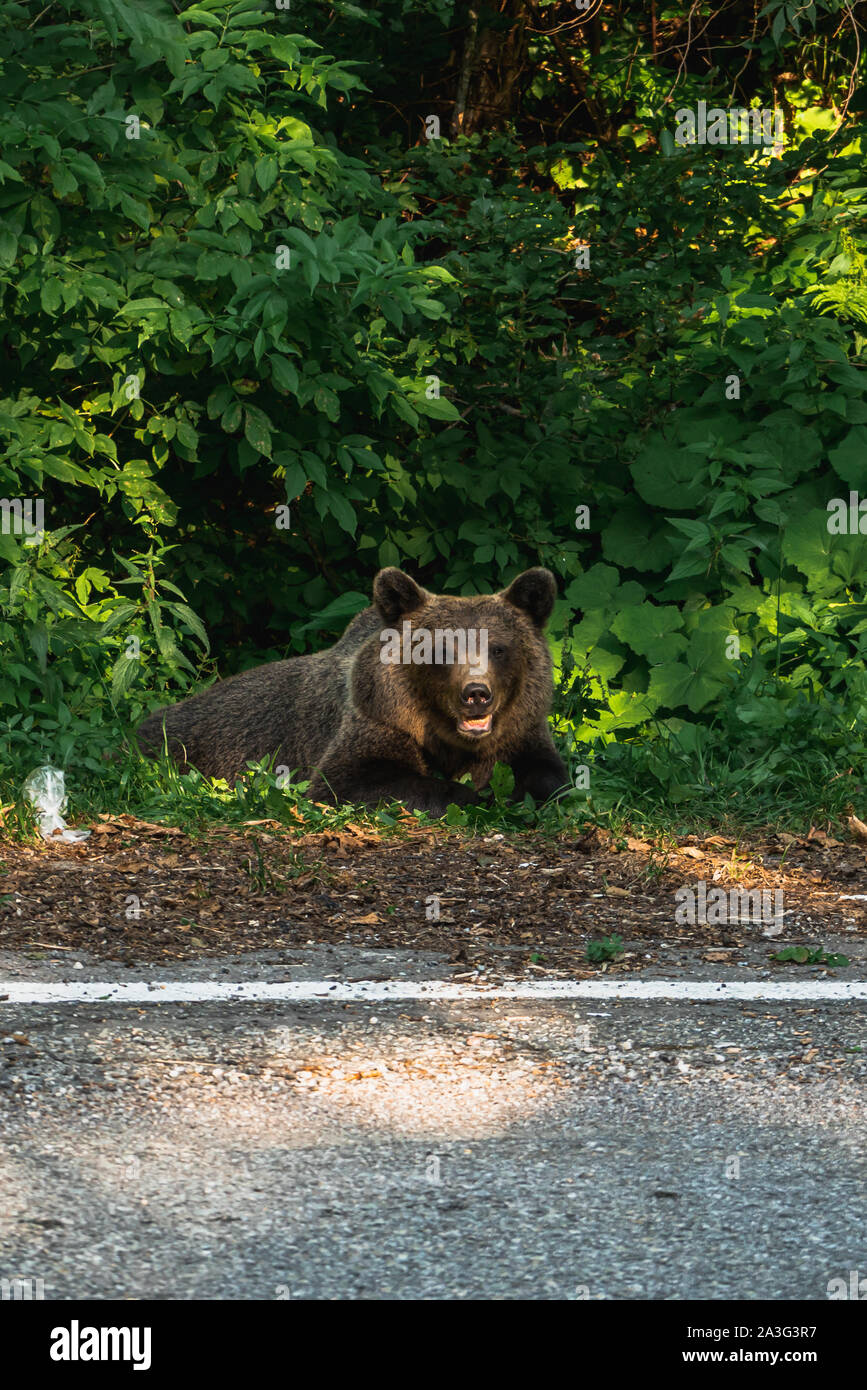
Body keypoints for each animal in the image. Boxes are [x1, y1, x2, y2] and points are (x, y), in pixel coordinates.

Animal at [135, 564, 569, 811]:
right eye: (441, 648)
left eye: (498, 647)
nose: (476, 693)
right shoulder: (377, 719)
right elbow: (351, 780)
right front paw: (474, 795)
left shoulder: (520, 729)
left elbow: (549, 774)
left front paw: (516, 792)